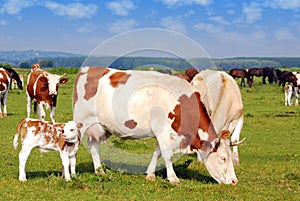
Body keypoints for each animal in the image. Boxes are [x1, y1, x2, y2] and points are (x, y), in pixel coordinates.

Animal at [72, 66, 239, 185]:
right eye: (223, 158)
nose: (234, 181)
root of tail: (88, 69)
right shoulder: (164, 130)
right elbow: (167, 154)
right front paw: (173, 178)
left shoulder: (162, 132)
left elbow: (157, 152)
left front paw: (150, 174)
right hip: (81, 124)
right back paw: (71, 175)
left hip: (100, 126)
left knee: (94, 145)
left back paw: (99, 171)